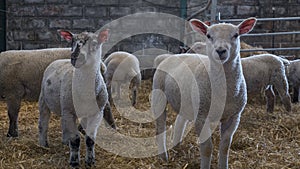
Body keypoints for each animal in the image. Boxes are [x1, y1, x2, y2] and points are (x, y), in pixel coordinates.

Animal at [38, 29, 115, 168]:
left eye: (94, 43)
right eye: (72, 42)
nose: (75, 57)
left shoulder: (97, 113)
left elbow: (90, 139)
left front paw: (90, 161)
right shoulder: (69, 112)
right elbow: (75, 140)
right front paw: (74, 162)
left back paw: (64, 141)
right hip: (44, 100)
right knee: (43, 122)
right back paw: (43, 144)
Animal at [151, 17, 256, 168]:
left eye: (236, 35)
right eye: (208, 35)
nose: (220, 50)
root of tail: (173, 56)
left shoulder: (234, 117)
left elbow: (225, 146)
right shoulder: (201, 117)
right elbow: (207, 148)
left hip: (188, 101)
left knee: (179, 120)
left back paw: (176, 145)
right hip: (158, 95)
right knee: (160, 127)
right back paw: (163, 157)